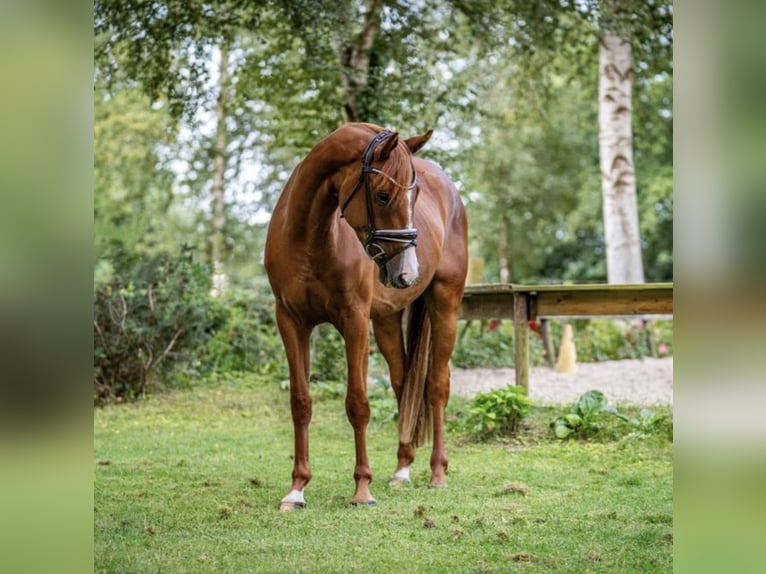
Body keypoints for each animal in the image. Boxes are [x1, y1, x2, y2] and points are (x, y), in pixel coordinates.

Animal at [264, 124, 468, 510]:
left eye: (416, 195)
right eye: (384, 195)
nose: (408, 272)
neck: (311, 238)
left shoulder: (354, 321)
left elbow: (357, 403)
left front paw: (362, 489)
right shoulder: (291, 321)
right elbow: (301, 402)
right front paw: (297, 489)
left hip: (445, 305)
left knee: (436, 386)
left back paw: (437, 473)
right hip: (387, 320)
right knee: (404, 385)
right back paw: (402, 469)